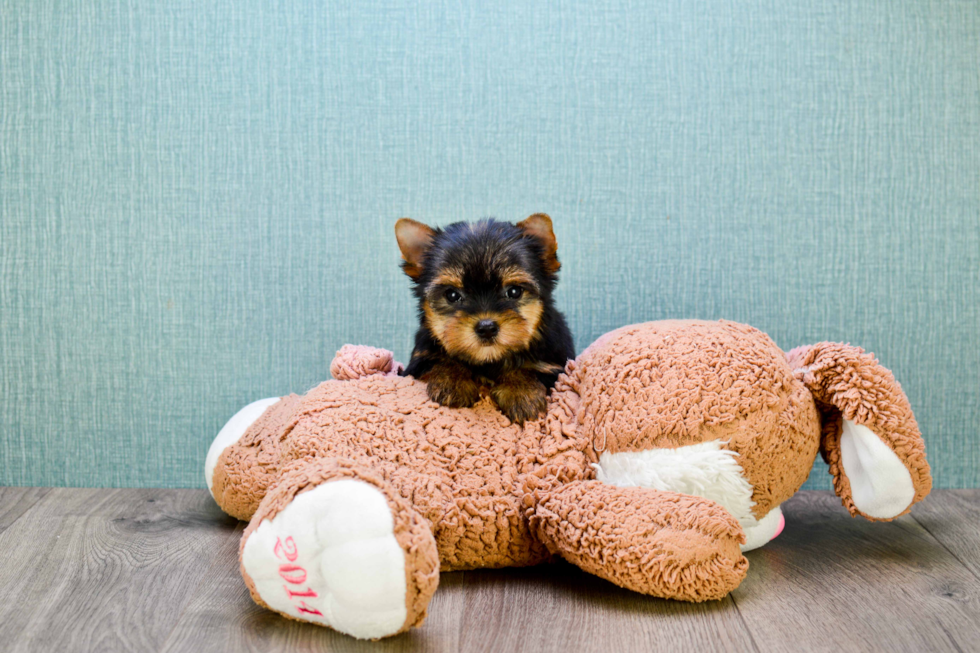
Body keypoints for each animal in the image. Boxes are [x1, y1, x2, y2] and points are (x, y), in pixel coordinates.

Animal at [394, 214, 576, 422]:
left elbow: (528, 368)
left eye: (514, 291)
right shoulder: (418, 363)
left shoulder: (554, 365)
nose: (487, 327)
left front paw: (521, 392)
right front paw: (452, 381)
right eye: (452, 295)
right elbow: (442, 360)